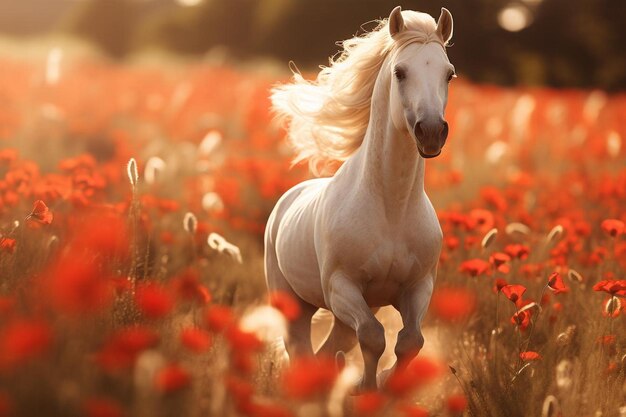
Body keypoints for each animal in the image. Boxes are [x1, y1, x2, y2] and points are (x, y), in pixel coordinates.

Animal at [264, 7, 454, 390]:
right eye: (400, 72)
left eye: (449, 73)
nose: (430, 132)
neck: (392, 208)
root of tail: (285, 202)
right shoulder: (342, 288)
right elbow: (373, 336)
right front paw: (363, 388)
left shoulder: (417, 288)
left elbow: (411, 341)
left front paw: (383, 384)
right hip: (294, 305)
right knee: (302, 350)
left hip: (340, 315)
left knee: (328, 349)